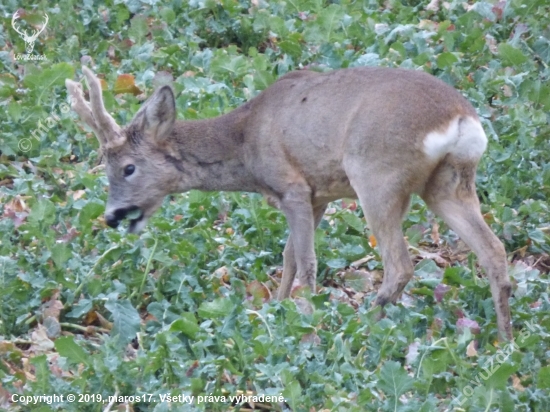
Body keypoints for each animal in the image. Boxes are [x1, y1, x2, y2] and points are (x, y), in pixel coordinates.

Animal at [67, 65, 516, 342]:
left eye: (127, 168)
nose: (111, 216)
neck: (246, 142)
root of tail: (460, 120)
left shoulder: (293, 186)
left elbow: (305, 261)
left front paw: (303, 320)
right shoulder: (318, 195)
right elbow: (287, 256)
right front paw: (276, 309)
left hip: (377, 176)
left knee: (400, 264)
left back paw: (360, 326)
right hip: (448, 184)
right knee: (494, 251)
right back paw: (504, 340)